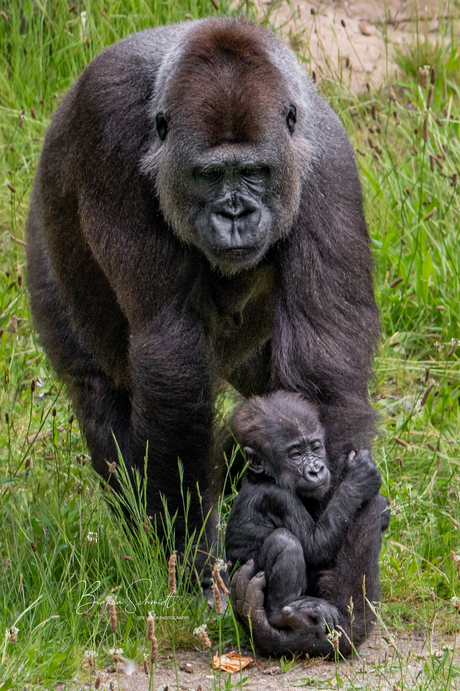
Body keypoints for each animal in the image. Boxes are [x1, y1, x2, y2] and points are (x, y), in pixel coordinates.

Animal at [26, 17, 378, 612]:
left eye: (255, 172)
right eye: (210, 176)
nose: (235, 215)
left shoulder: (325, 163)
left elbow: (323, 371)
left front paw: (342, 576)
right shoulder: (109, 128)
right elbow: (171, 360)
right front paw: (190, 562)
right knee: (98, 390)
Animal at [225, 392, 386, 640]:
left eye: (316, 447)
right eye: (296, 454)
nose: (316, 470)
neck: (265, 476)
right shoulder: (278, 498)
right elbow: (315, 547)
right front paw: (358, 480)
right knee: (284, 541)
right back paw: (281, 613)